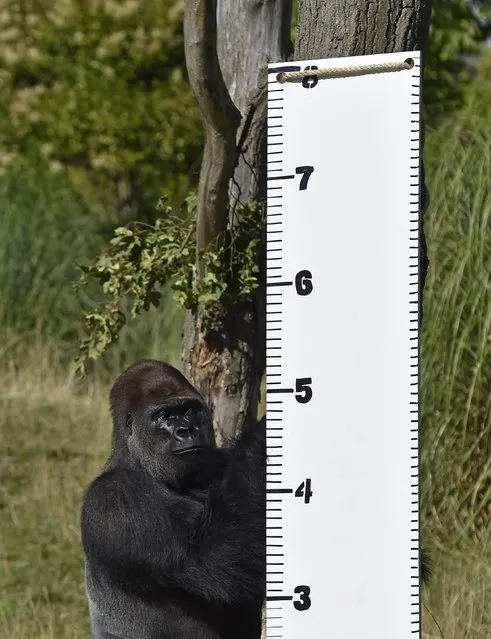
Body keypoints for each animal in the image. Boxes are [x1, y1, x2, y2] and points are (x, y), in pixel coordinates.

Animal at [81, 360, 266, 639]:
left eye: (190, 410)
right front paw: (262, 438)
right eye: (164, 415)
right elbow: (214, 559)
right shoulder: (114, 499)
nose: (186, 430)